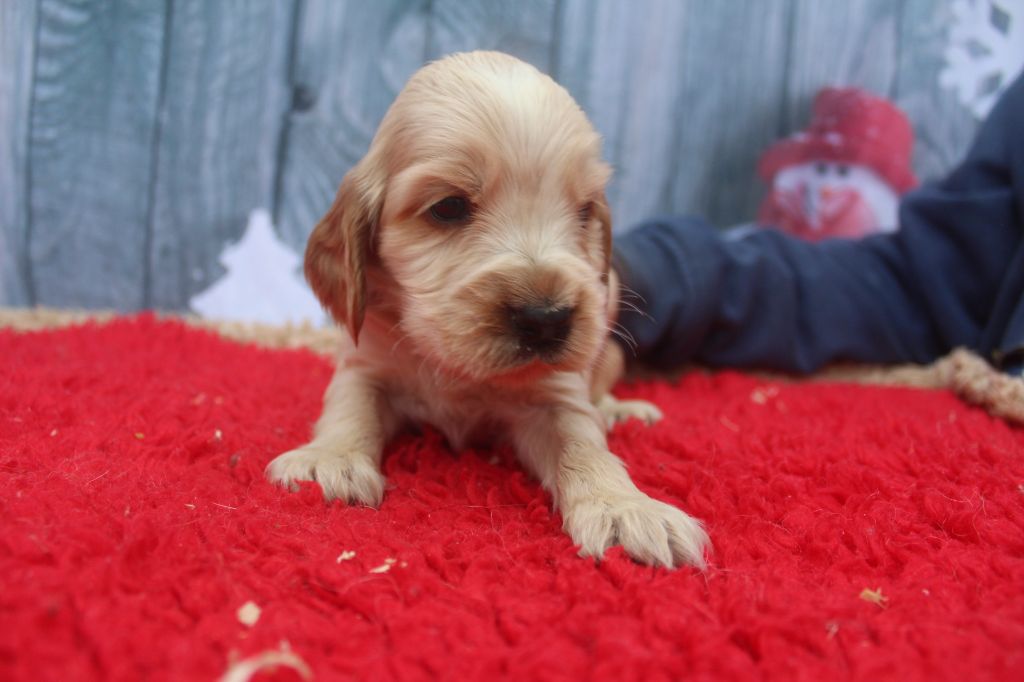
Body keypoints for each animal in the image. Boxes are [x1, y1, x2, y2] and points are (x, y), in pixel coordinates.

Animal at [268, 49, 708, 569]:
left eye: (584, 212)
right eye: (448, 207)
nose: (547, 320)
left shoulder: (556, 395)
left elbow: (583, 445)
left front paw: (626, 507)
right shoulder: (365, 363)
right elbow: (350, 409)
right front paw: (329, 458)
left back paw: (623, 409)